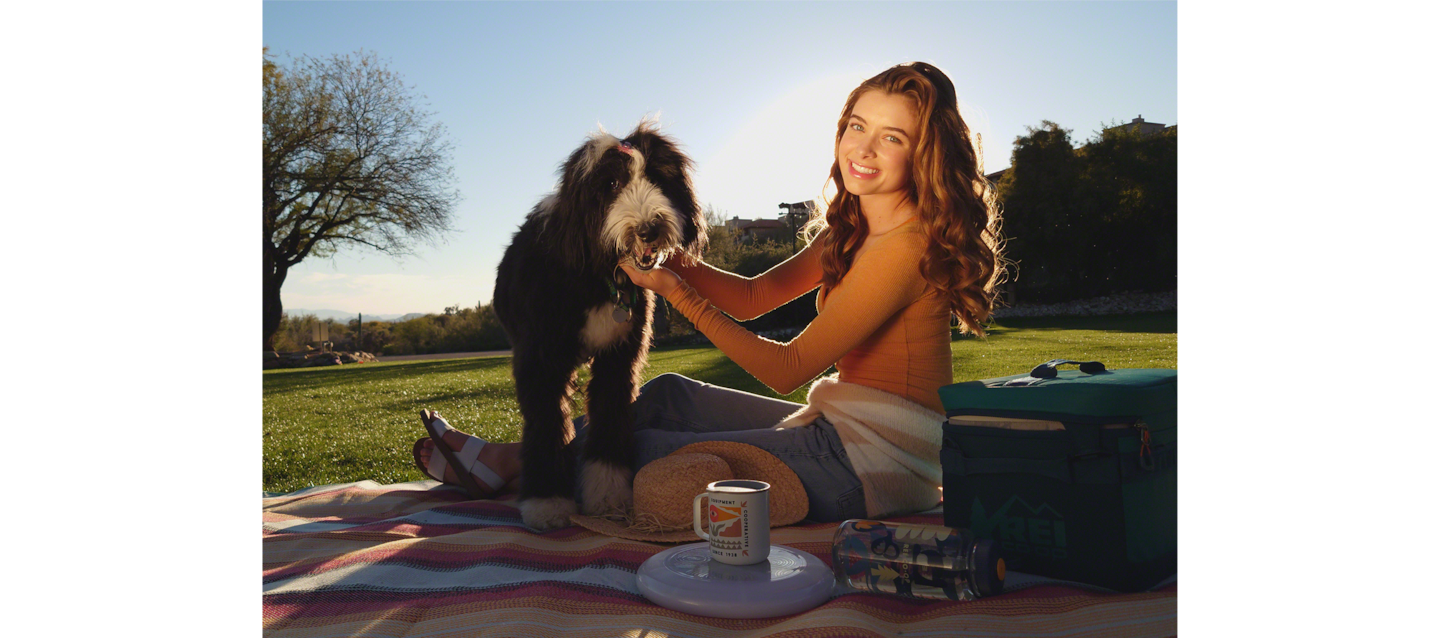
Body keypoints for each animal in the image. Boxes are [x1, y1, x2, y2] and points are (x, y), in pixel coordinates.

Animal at [492, 122, 705, 532]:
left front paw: (607, 494)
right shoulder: (540, 363)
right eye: (610, 184)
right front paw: (546, 501)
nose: (649, 229)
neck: (596, 274)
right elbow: (547, 421)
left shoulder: (618, 359)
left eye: (658, 177)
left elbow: (608, 415)